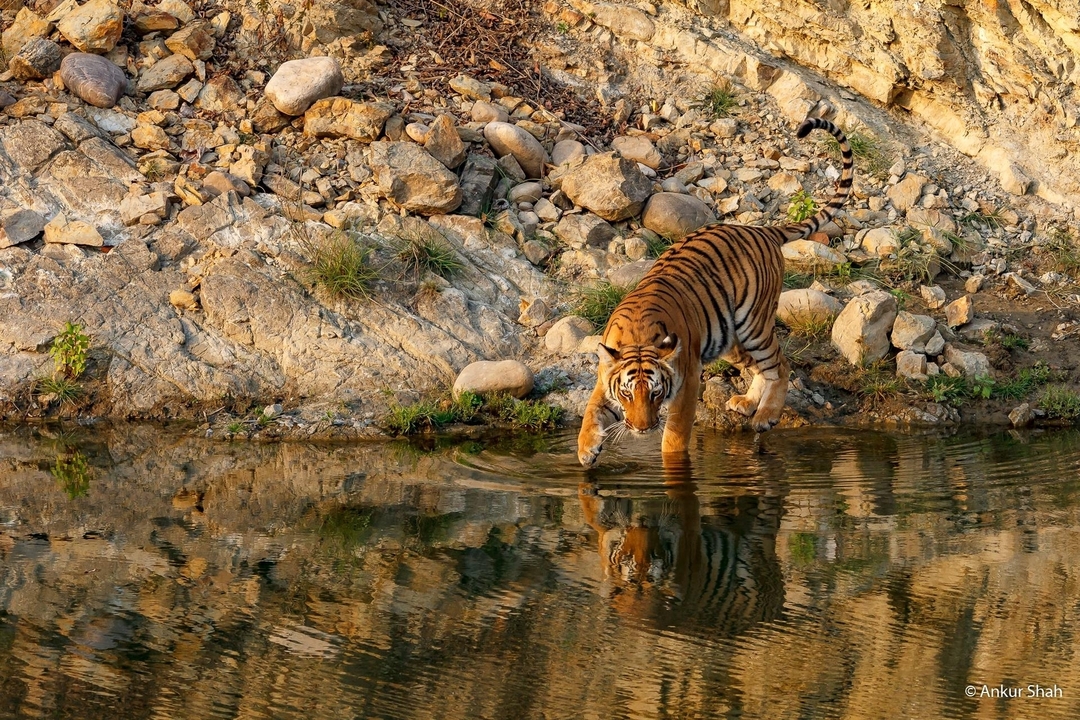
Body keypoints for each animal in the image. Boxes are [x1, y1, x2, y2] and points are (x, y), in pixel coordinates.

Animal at [577, 117, 854, 467]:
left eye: (655, 392)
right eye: (627, 393)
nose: (642, 428)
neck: (638, 337)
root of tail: (762, 230)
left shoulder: (686, 383)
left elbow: (675, 435)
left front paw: (672, 466)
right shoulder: (606, 379)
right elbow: (590, 412)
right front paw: (586, 450)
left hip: (753, 324)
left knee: (780, 364)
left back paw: (765, 416)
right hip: (729, 338)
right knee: (760, 366)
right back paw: (747, 403)